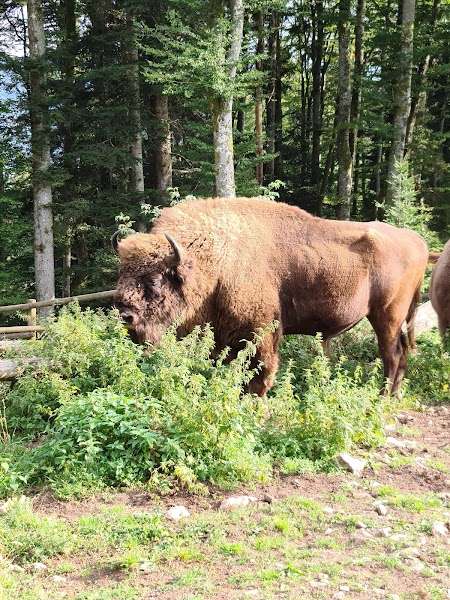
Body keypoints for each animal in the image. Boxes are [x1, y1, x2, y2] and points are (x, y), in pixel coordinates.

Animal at [113, 197, 429, 396]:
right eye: (121, 275)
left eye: (154, 281)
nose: (125, 316)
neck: (214, 259)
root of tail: (417, 241)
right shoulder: (225, 334)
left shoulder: (261, 330)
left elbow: (261, 370)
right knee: (402, 353)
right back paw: (394, 394)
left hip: (386, 316)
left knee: (391, 355)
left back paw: (383, 396)